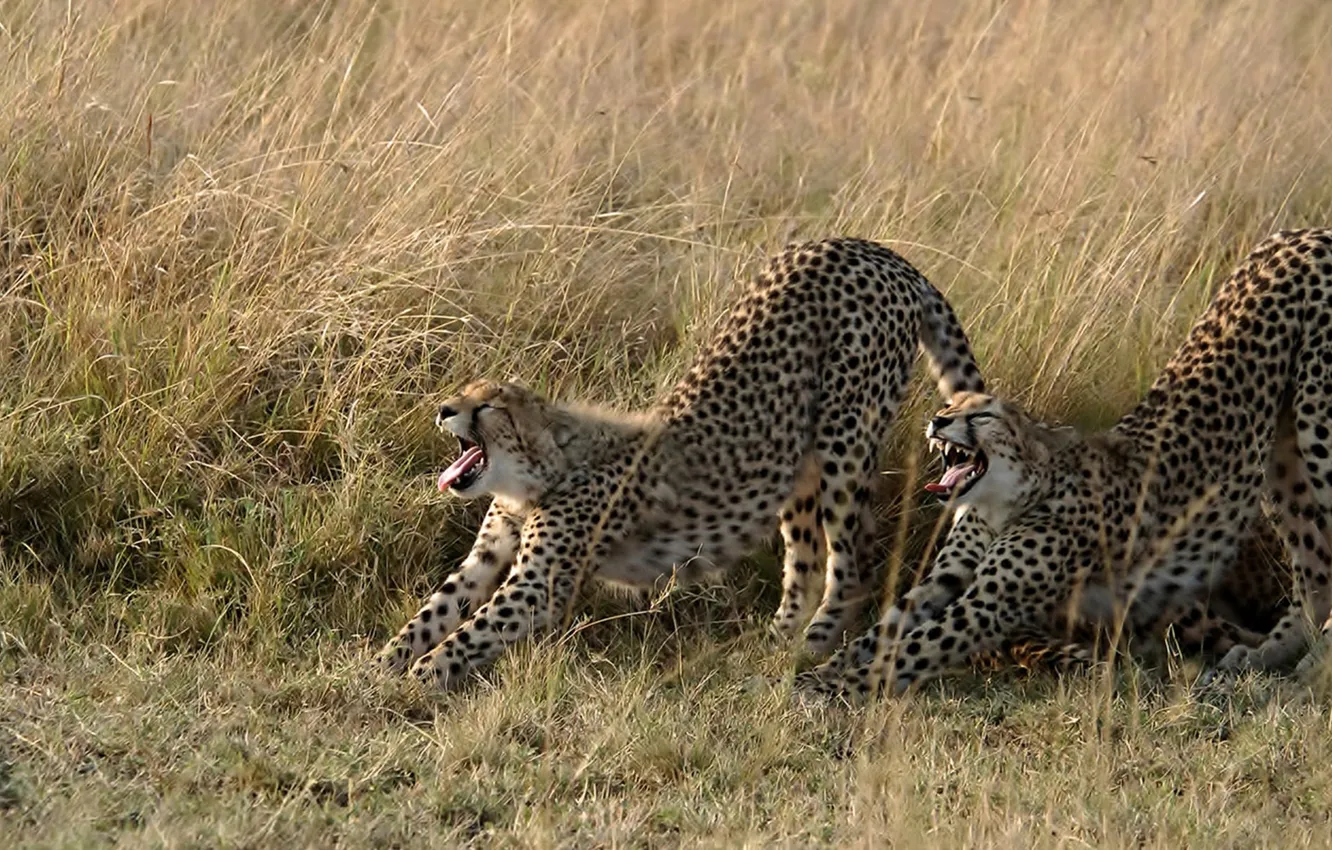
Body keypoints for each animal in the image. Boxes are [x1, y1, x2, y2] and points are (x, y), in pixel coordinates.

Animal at [375, 237, 988, 688]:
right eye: (464, 392)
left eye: (490, 406)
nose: (444, 409)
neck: (536, 474)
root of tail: (878, 250)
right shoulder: (489, 551)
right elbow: (437, 609)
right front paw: (378, 666)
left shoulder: (538, 585)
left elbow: (469, 632)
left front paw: (419, 677)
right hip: (794, 460)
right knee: (807, 557)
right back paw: (778, 640)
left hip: (845, 436)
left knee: (850, 557)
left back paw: (814, 644)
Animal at [798, 228, 1332, 699]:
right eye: (951, 404)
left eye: (983, 415)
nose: (937, 420)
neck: (1006, 499)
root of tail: (1302, 234)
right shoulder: (945, 579)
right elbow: (886, 629)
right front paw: (824, 667)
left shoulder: (989, 603)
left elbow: (913, 647)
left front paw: (834, 688)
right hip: (1280, 457)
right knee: (1314, 566)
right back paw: (1272, 657)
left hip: (1317, 427)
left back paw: (1312, 667)